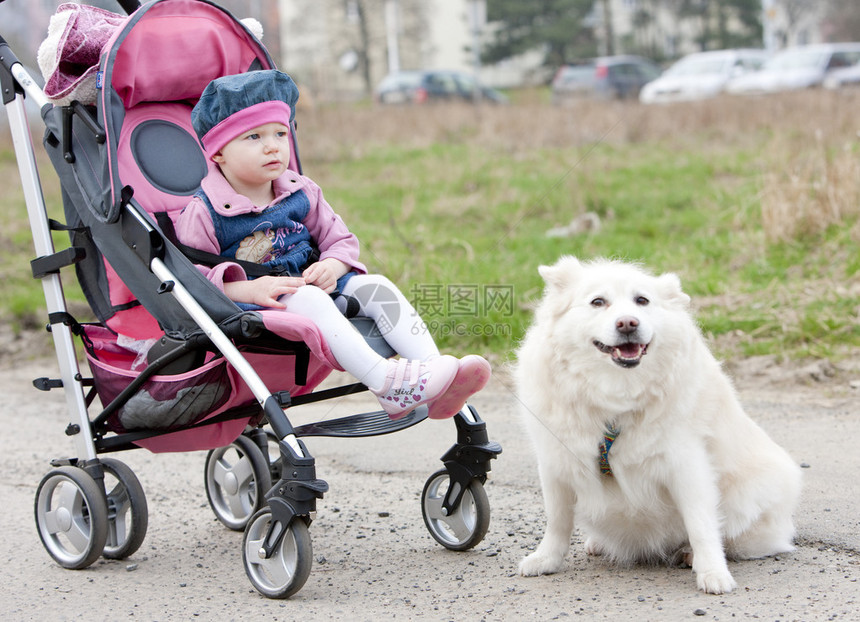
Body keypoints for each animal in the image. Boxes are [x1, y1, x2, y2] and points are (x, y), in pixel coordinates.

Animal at [512, 258, 804, 596]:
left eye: (642, 300)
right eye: (598, 302)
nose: (628, 323)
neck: (616, 398)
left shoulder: (686, 465)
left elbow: (702, 525)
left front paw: (713, 573)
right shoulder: (556, 465)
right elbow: (557, 521)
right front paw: (546, 559)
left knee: (732, 539)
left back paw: (689, 554)